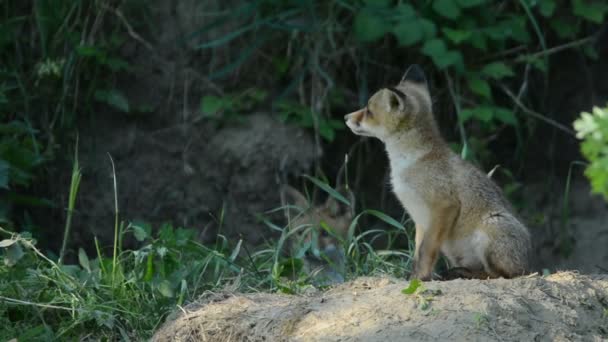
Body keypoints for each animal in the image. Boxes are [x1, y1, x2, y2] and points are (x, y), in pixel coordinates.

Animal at [344, 65, 528, 280]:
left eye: (368, 111)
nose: (345, 117)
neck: (410, 163)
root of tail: (529, 264)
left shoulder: (444, 206)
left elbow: (426, 252)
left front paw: (420, 278)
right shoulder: (420, 219)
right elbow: (417, 254)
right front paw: (415, 277)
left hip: (490, 232)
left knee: (500, 274)